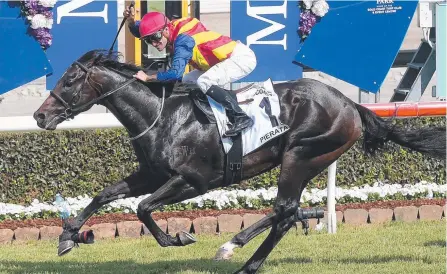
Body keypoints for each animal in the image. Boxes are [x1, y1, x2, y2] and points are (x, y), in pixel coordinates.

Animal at [33, 50, 446, 272]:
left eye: (69, 80)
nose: (39, 116)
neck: (162, 116)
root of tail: (349, 104)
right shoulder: (150, 173)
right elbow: (104, 195)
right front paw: (69, 236)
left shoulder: (194, 181)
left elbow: (143, 208)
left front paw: (177, 237)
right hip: (307, 159)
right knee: (286, 213)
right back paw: (242, 253)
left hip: (302, 153)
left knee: (283, 210)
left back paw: (238, 252)